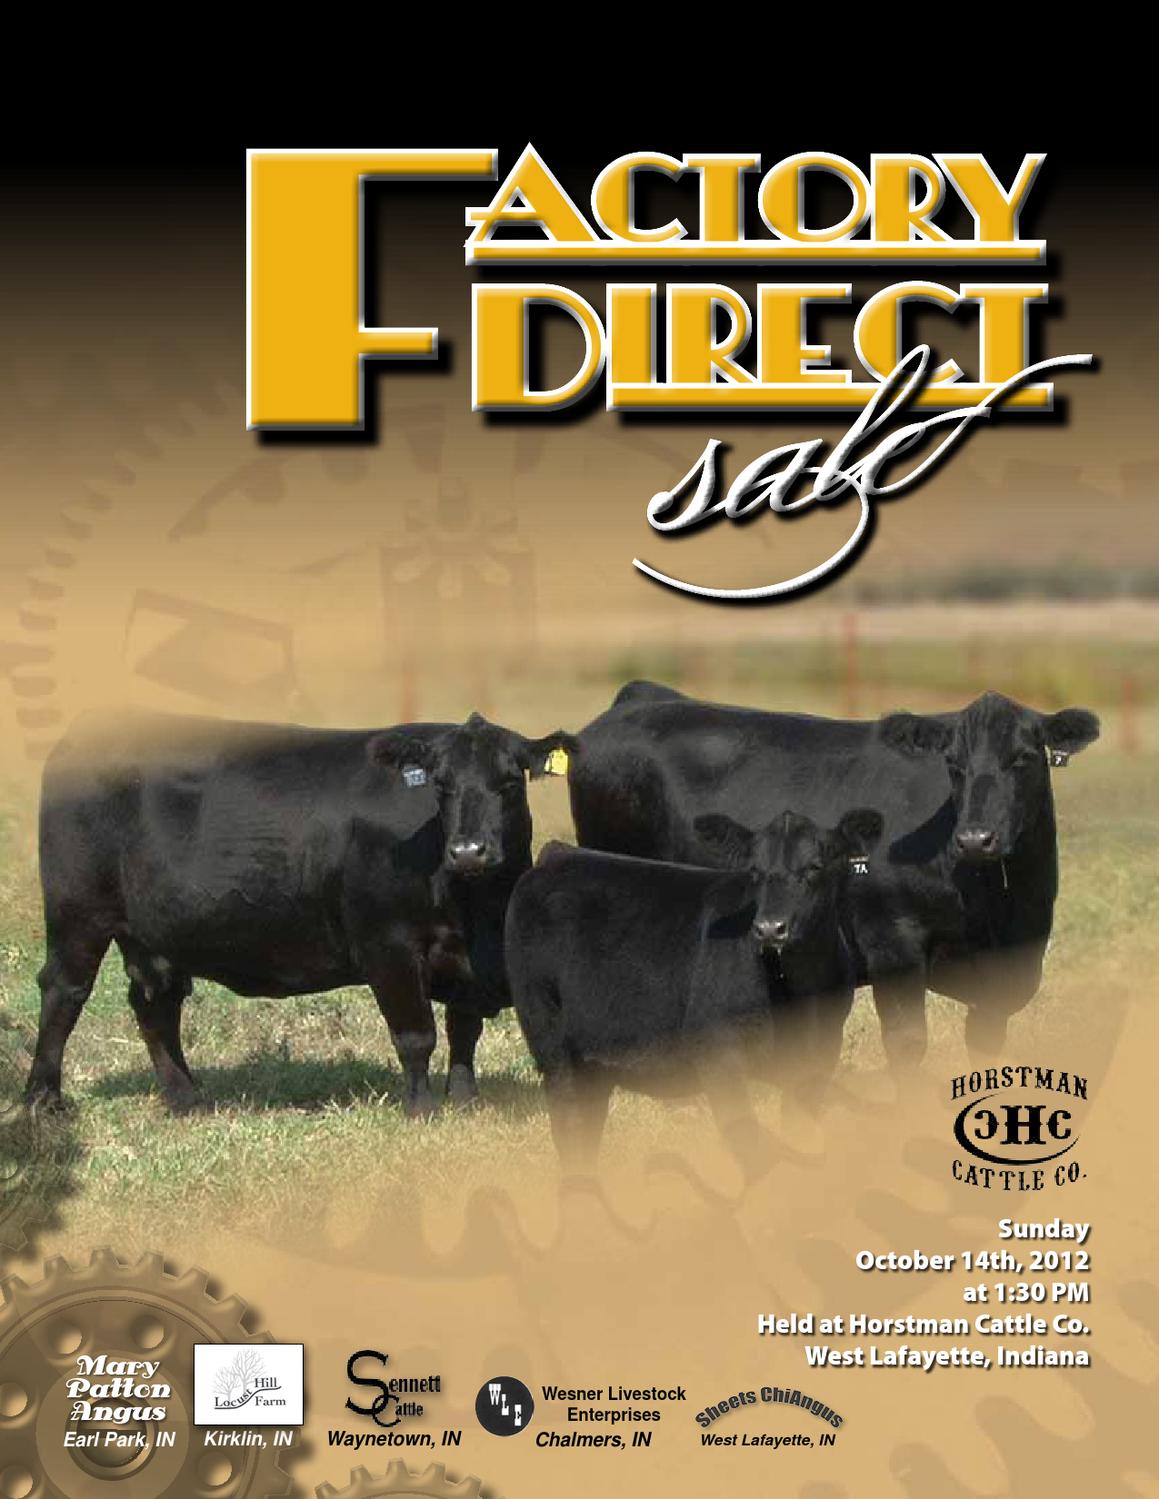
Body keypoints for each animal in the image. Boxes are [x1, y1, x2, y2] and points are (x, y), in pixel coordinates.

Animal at [26, 710, 575, 1118]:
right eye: (439, 786)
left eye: (510, 782)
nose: (468, 851)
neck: (475, 910)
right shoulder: (389, 946)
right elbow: (416, 1035)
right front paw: (421, 1110)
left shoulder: (467, 959)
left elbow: (464, 1032)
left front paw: (464, 1103)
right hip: (78, 911)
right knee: (64, 991)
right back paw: (42, 1100)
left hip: (154, 930)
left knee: (154, 1000)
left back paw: (187, 1098)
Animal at [505, 806, 883, 1173]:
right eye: (754, 871)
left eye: (814, 866)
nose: (769, 928)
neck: (800, 988)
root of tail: (558, 855)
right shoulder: (718, 1055)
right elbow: (754, 1152)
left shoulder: (818, 1056)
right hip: (555, 1051)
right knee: (571, 1134)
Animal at [568, 682, 1099, 1069]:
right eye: (953, 764)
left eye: (1023, 758)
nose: (974, 838)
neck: (998, 904)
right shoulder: (893, 945)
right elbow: (907, 1044)